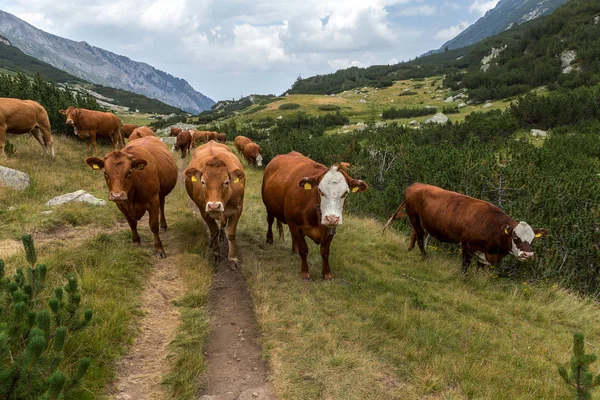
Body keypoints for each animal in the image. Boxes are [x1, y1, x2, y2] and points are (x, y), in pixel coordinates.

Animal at [185, 140, 246, 268]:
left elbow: (231, 234)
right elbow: (214, 231)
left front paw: (232, 258)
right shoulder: (204, 212)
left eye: (226, 182)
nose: (214, 206)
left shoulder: (237, 209)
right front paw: (216, 253)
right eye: (203, 182)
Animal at [264, 152, 370, 280]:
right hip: (269, 207)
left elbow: (325, 252)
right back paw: (269, 239)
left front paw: (327, 273)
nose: (332, 218)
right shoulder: (295, 224)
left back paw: (294, 249)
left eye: (345, 193)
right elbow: (304, 249)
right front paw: (304, 272)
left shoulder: (331, 228)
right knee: (270, 220)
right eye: (320, 191)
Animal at [384, 184, 548, 272]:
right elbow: (466, 264)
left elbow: (480, 268)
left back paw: (410, 250)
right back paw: (425, 258)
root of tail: (415, 185)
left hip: (418, 221)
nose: (528, 255)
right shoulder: (467, 244)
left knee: (414, 234)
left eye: (532, 239)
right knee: (419, 238)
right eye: (515, 236)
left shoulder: (484, 252)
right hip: (414, 218)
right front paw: (463, 278)